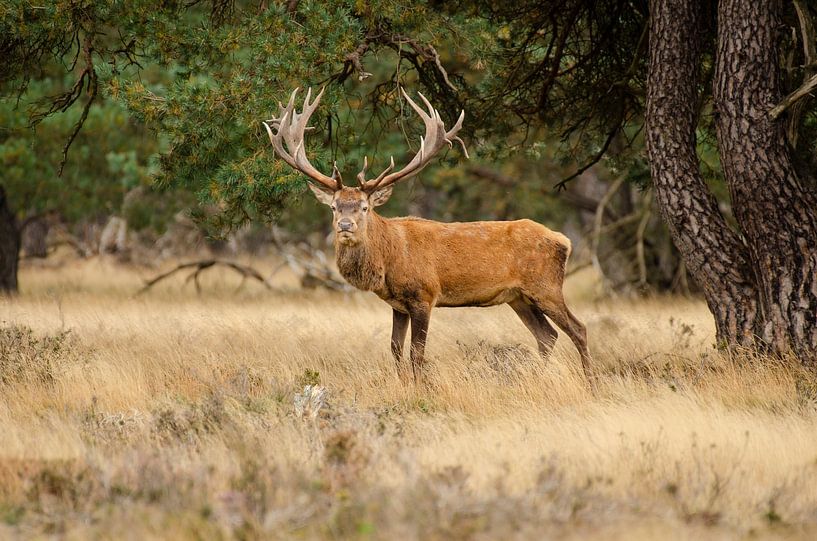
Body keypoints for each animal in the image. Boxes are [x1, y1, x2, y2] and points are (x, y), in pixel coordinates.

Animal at [263, 87, 591, 383]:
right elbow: (395, 349)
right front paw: (404, 385)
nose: (345, 225)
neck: (389, 262)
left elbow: (416, 353)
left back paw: (591, 382)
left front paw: (422, 389)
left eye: (364, 207)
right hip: (519, 297)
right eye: (333, 206)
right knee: (547, 336)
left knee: (578, 329)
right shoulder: (398, 305)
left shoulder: (424, 295)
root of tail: (564, 240)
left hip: (546, 286)